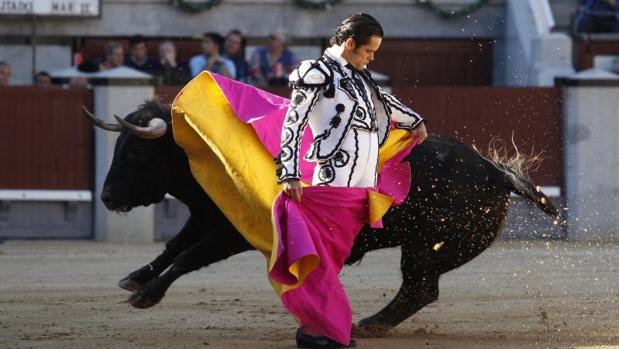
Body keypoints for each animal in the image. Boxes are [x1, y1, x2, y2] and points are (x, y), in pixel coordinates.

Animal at [88, 100, 560, 328]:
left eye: (135, 152)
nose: (107, 197)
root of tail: (493, 170)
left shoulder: (232, 234)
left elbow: (188, 256)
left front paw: (147, 295)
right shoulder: (207, 218)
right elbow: (173, 247)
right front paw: (136, 278)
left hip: (428, 246)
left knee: (420, 289)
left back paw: (368, 325)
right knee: (420, 290)